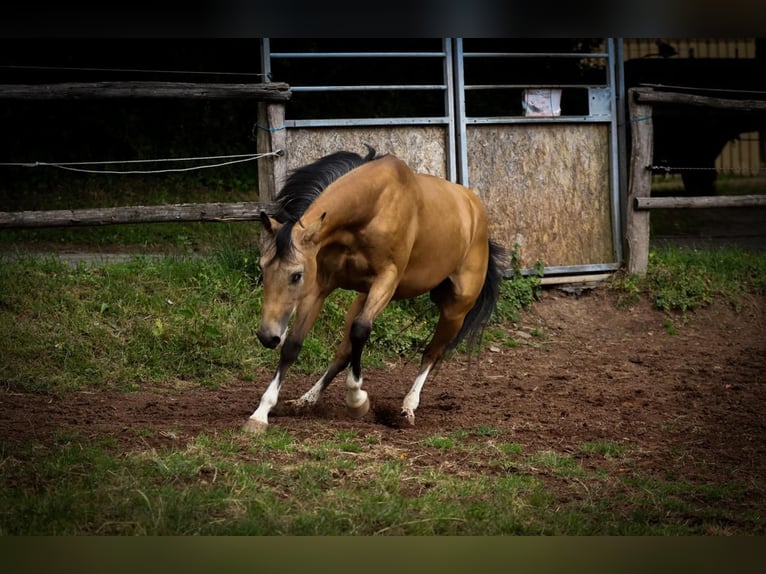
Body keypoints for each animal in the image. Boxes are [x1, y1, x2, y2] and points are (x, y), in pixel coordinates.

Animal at [243, 146, 506, 433]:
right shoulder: (321, 286)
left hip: (455, 310)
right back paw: (307, 399)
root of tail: (475, 213)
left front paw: (357, 399)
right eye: (262, 267)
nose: (267, 336)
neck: (373, 208)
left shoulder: (386, 281)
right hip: (363, 297)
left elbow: (361, 331)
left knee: (431, 353)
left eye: (296, 275)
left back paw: (408, 407)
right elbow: (293, 344)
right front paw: (261, 412)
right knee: (343, 352)